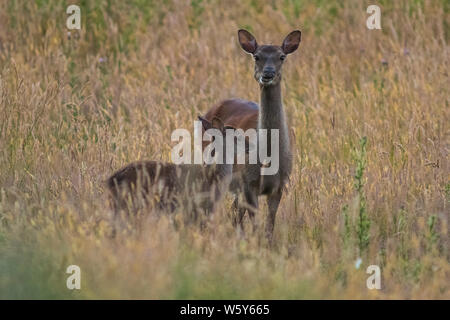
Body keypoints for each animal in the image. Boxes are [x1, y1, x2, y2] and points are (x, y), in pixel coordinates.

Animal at [202, 29, 300, 242]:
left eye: (282, 56)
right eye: (257, 56)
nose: (268, 74)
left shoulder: (280, 184)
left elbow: (269, 226)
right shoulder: (248, 181)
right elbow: (255, 224)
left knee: (233, 214)